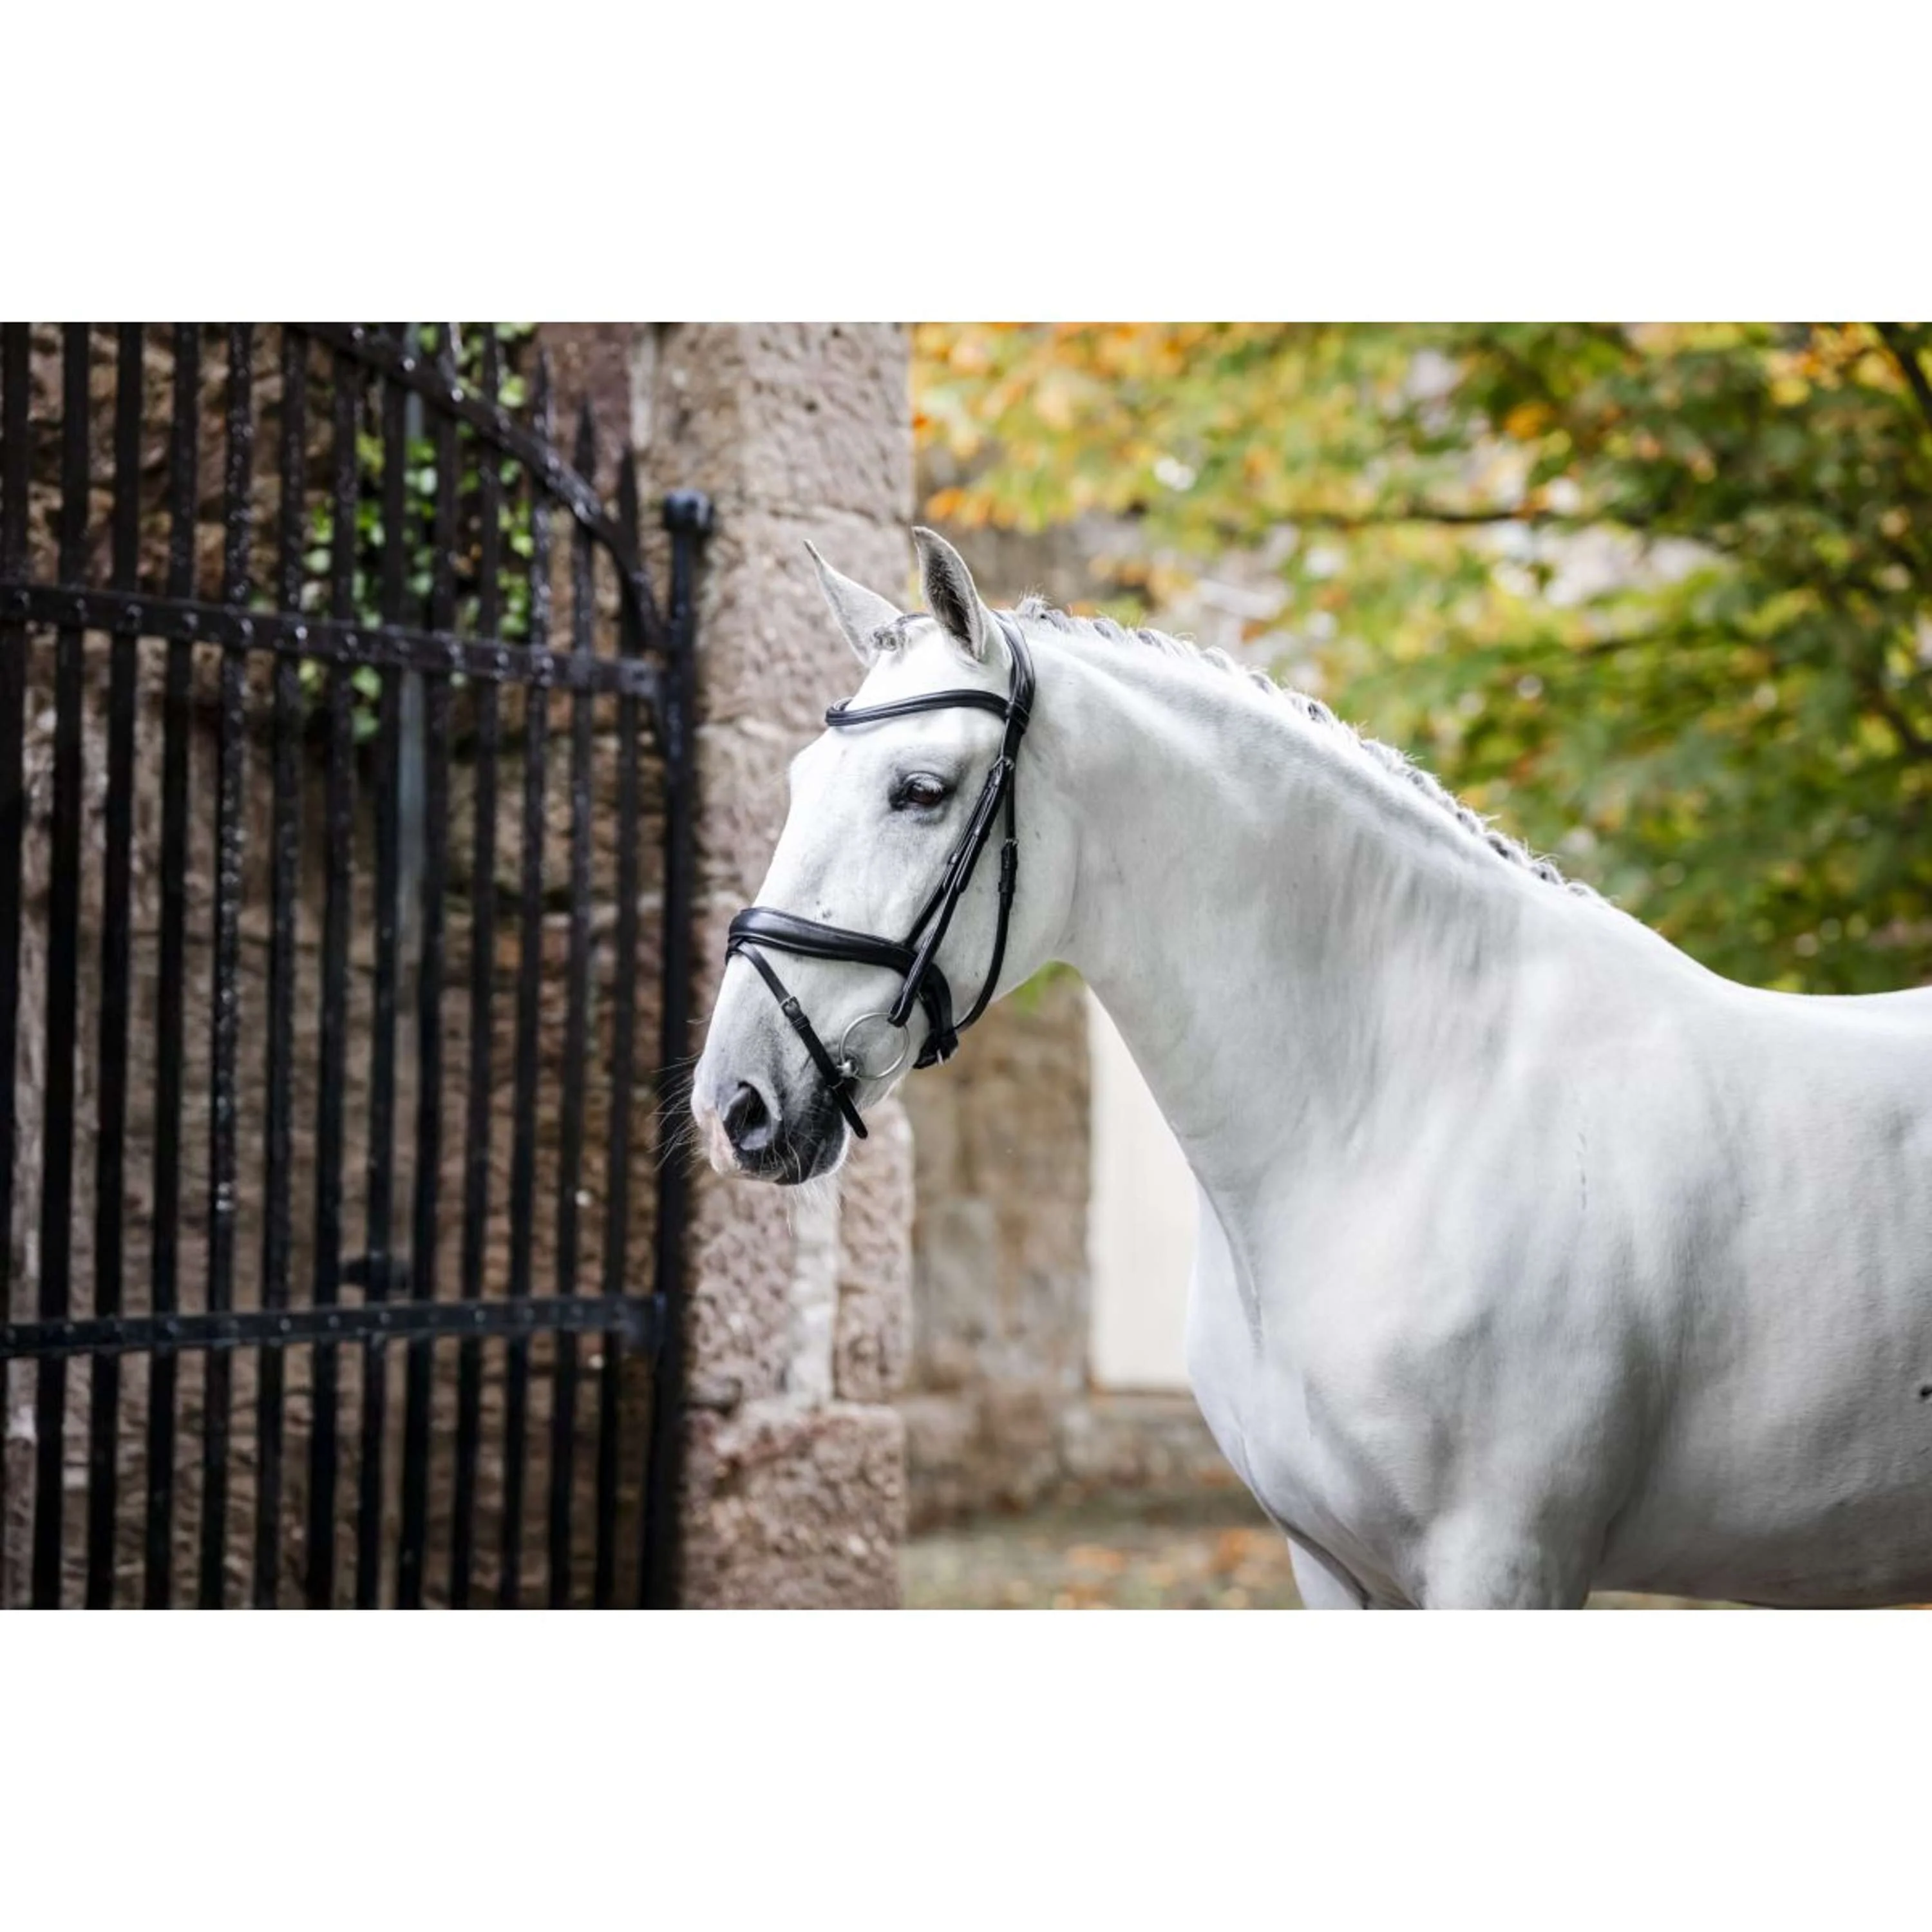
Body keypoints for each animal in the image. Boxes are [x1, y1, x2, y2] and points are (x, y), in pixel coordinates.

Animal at [693, 527, 1932, 1608]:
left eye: (920, 791)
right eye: (796, 780)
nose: (735, 1104)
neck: (1409, 1112)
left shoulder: (1504, 1561)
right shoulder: (1331, 1565)